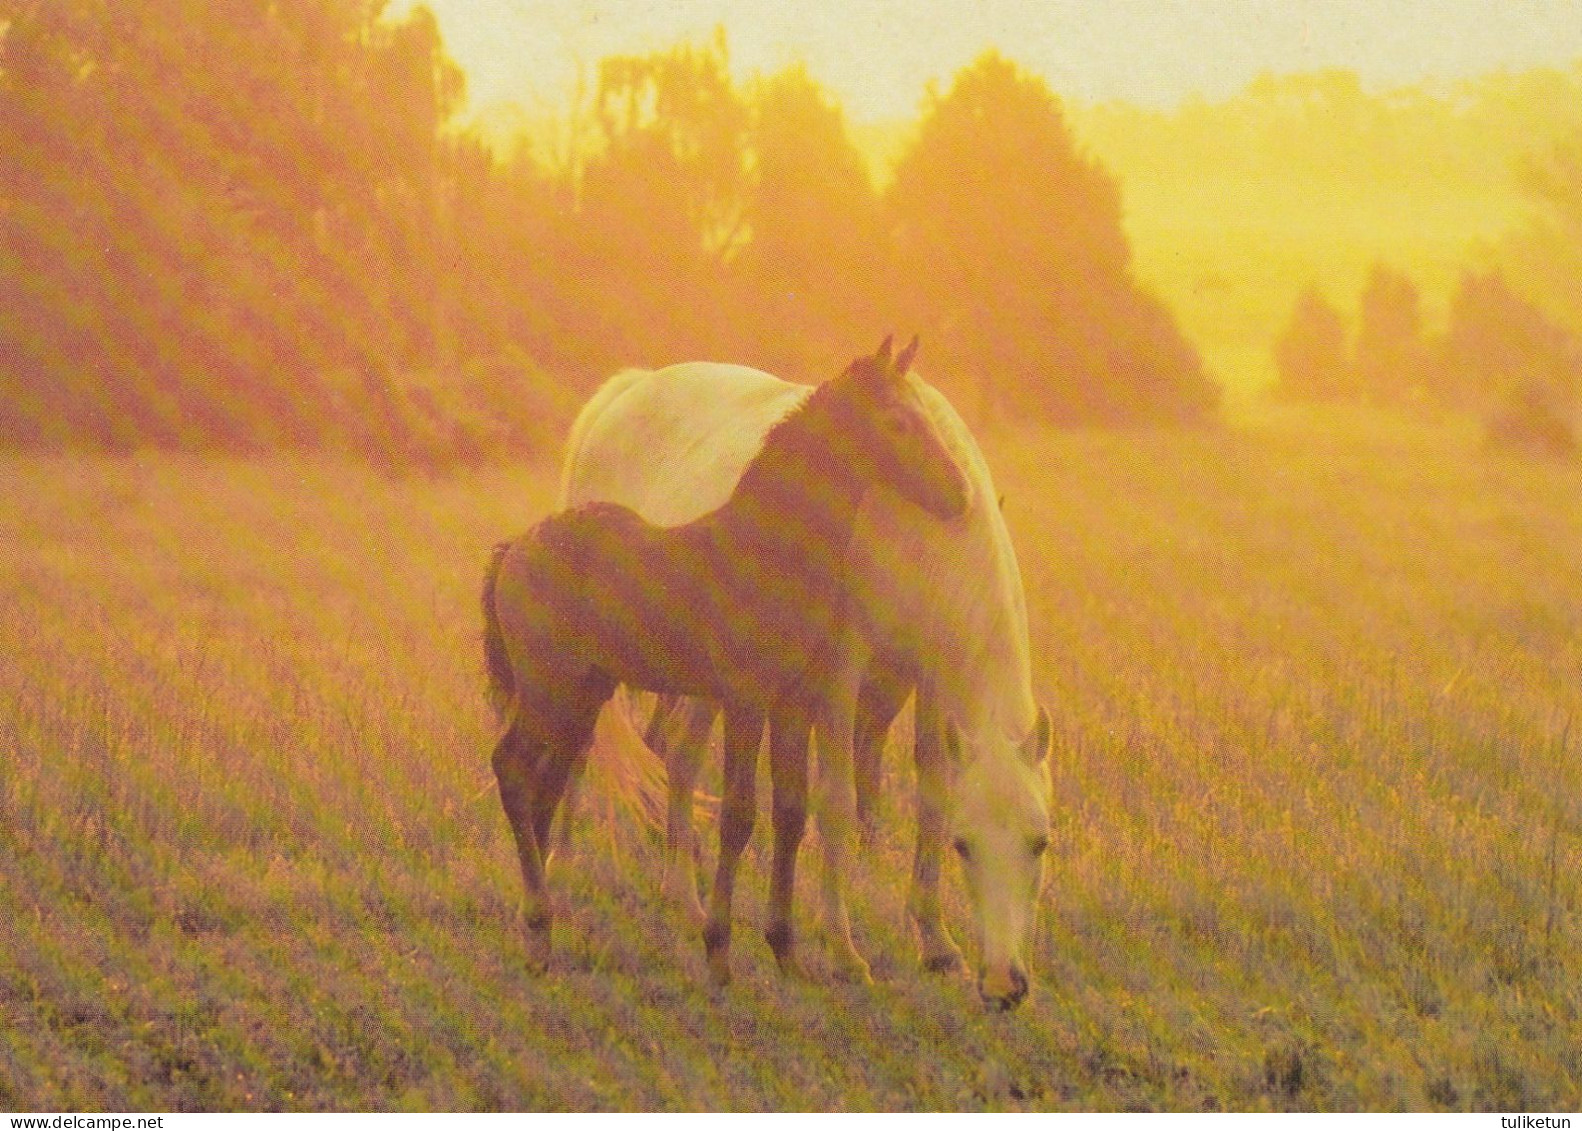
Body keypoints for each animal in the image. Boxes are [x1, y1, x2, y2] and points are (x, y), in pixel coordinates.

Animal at [556, 362, 1050, 1006]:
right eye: (965, 846)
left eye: (1040, 842)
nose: (1003, 985)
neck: (923, 531)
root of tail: (626, 391)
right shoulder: (840, 668)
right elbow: (835, 801)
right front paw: (844, 951)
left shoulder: (930, 675)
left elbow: (932, 792)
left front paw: (936, 944)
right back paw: (562, 875)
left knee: (678, 759)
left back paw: (684, 899)